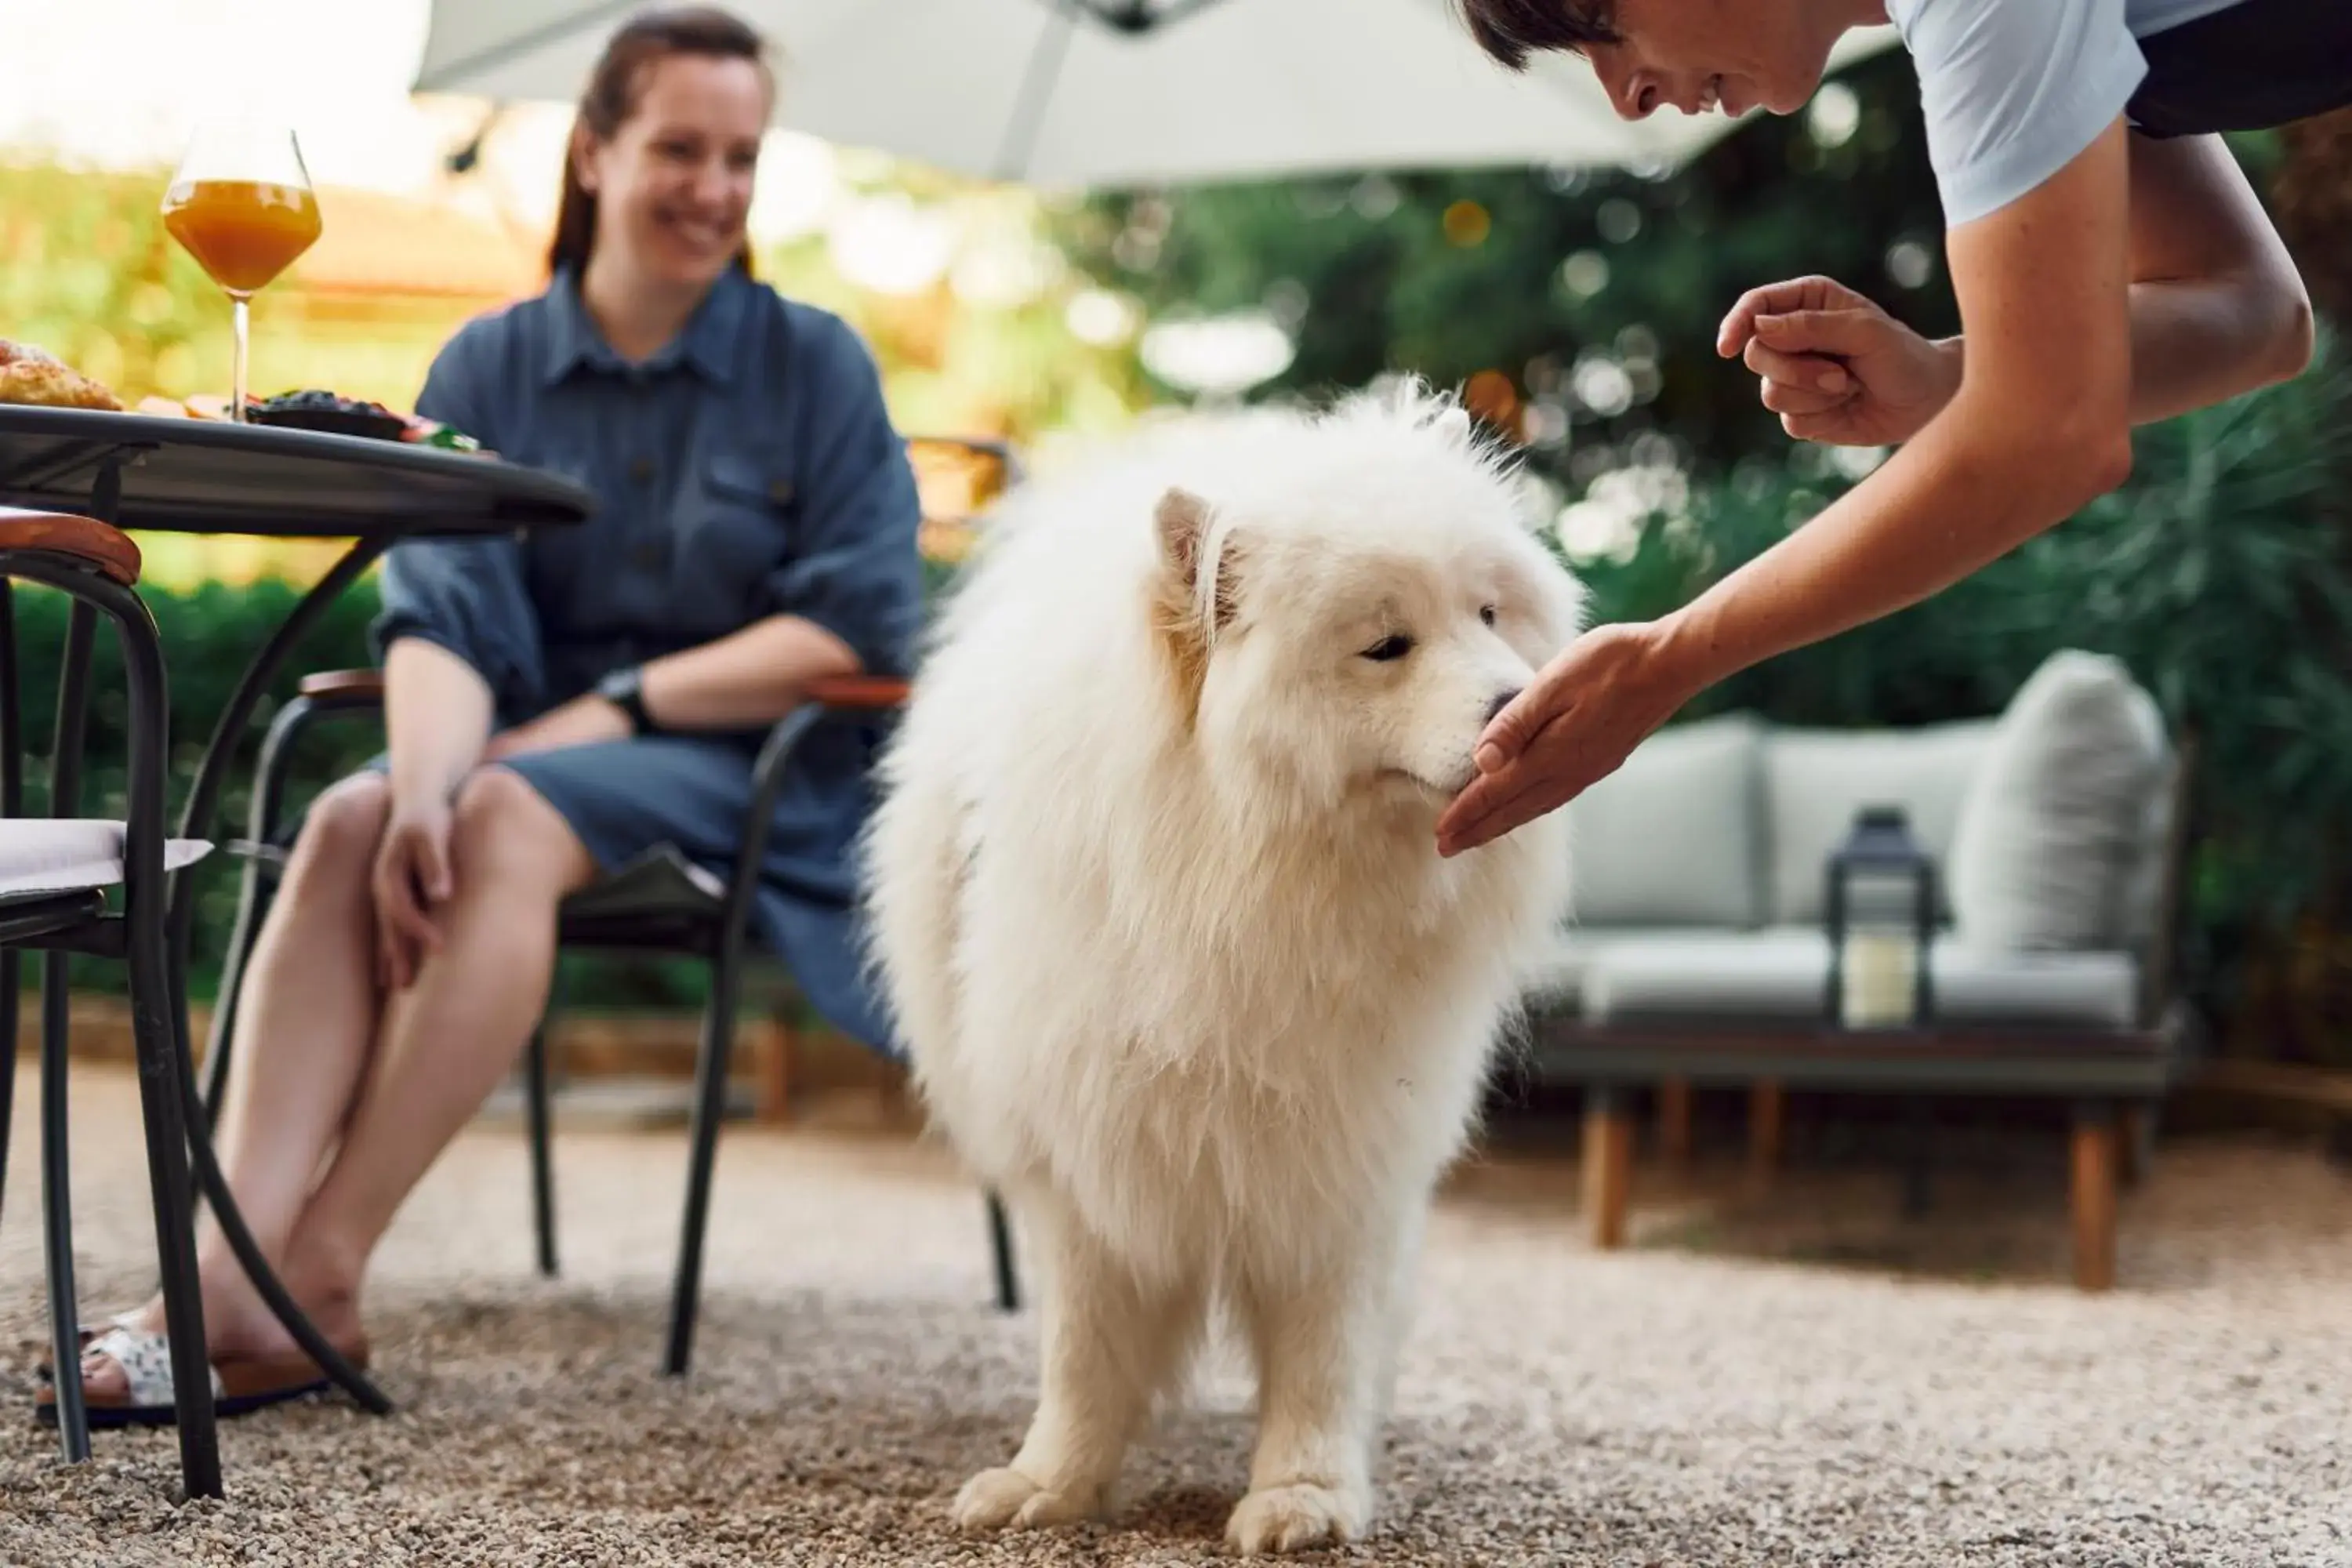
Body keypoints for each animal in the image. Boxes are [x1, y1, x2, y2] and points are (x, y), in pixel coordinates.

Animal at [861, 380, 1581, 1561]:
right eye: (1386, 644)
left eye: (1488, 615)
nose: (1523, 701)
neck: (1256, 880)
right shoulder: (1091, 1152)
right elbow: (1083, 1349)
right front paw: (1051, 1483)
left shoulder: (1345, 1158)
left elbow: (1325, 1351)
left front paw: (1305, 1494)